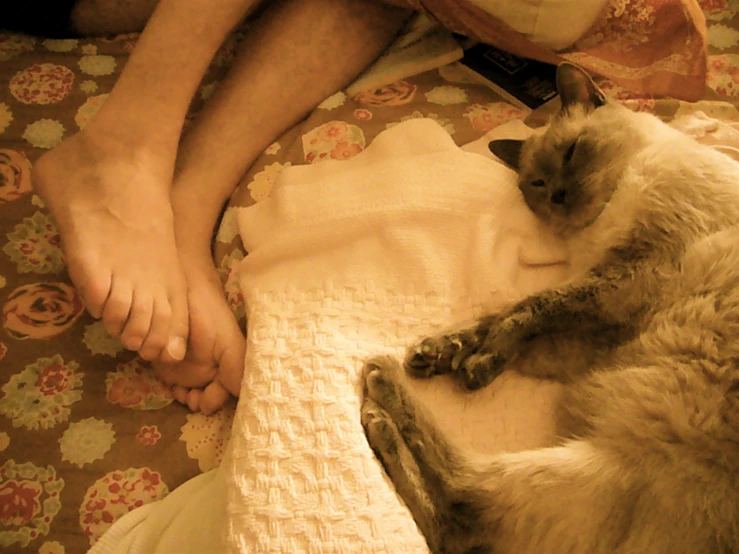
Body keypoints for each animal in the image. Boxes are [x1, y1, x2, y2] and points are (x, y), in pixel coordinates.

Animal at [362, 61, 739, 552]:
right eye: (537, 185)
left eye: (572, 153)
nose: (559, 196)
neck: (599, 224)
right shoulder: (604, 322)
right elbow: (504, 321)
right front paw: (447, 354)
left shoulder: (631, 273)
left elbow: (529, 309)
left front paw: (470, 361)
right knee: (455, 526)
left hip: (607, 466)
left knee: (463, 502)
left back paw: (379, 394)